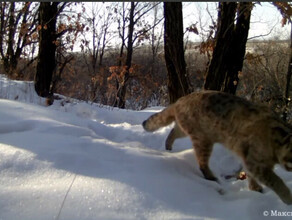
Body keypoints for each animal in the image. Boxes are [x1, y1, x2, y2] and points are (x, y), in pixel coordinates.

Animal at [143, 90, 292, 205]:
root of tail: (180, 100)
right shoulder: (255, 162)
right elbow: (276, 180)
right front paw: (288, 198)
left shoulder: (252, 162)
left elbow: (253, 176)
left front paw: (255, 189)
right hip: (203, 139)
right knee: (202, 164)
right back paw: (212, 177)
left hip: (186, 131)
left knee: (173, 131)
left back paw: (168, 146)